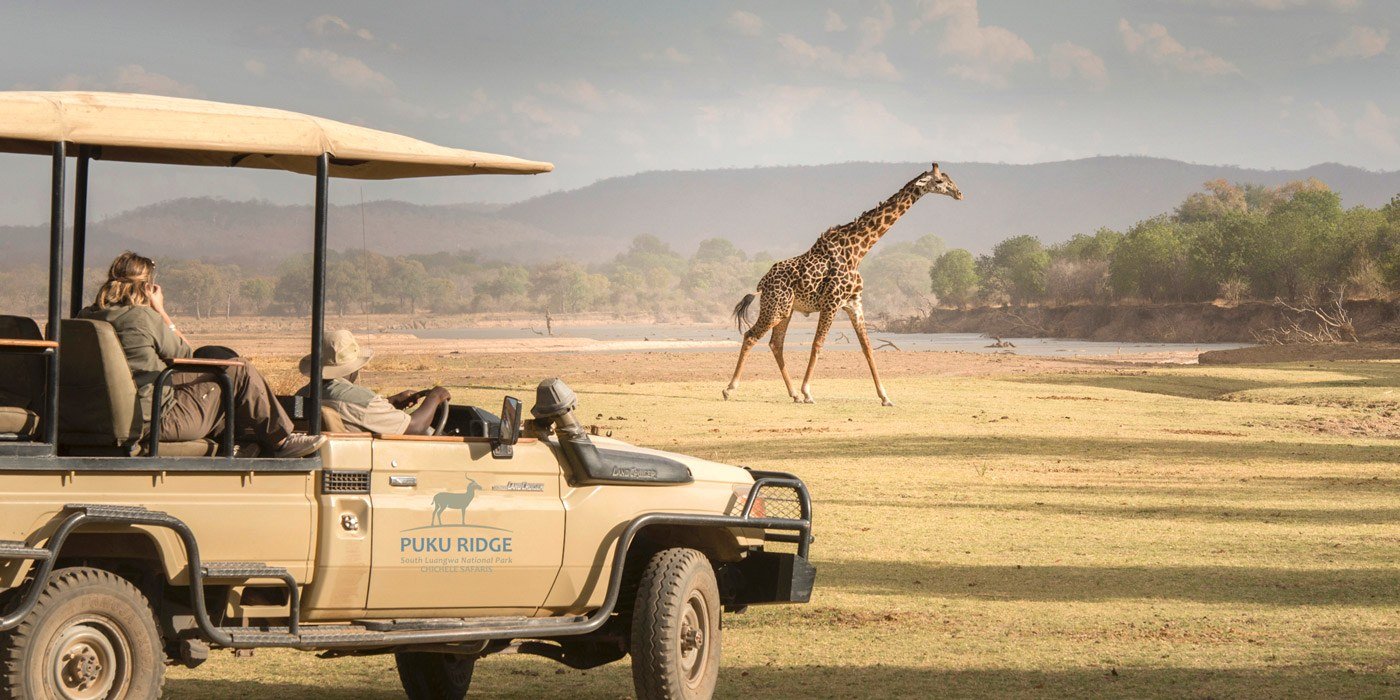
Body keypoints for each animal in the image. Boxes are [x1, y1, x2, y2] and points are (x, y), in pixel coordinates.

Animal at [723, 163, 964, 406]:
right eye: (940, 182)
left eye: (949, 178)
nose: (959, 193)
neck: (858, 251)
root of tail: (762, 282)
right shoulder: (831, 302)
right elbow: (818, 344)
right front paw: (808, 392)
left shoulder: (854, 304)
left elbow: (867, 347)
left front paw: (885, 397)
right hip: (775, 308)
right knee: (751, 336)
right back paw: (730, 389)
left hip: (785, 310)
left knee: (776, 344)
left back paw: (793, 394)